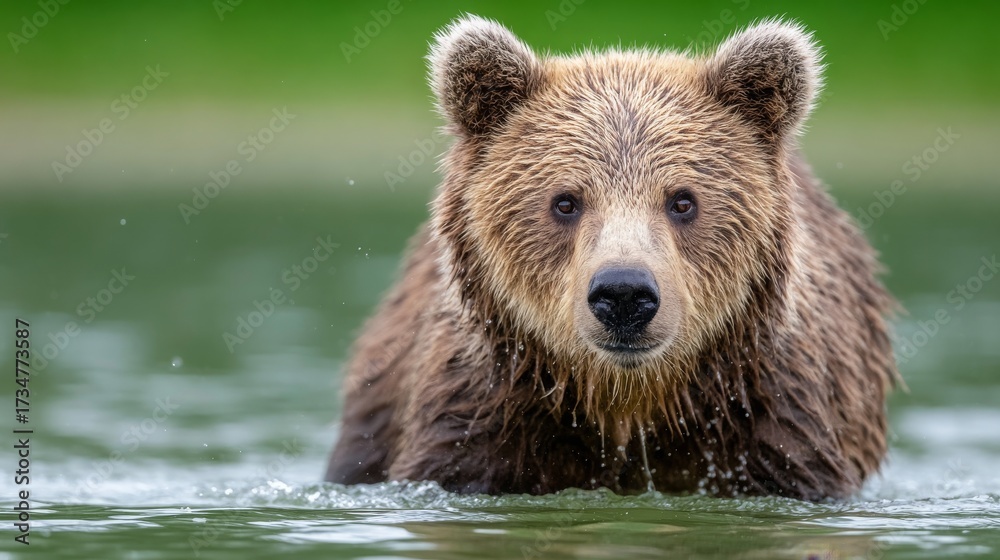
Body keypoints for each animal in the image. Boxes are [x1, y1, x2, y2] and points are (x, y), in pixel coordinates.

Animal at [325, 15, 897, 501]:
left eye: (683, 200)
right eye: (565, 201)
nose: (624, 293)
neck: (625, 401)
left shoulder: (772, 421)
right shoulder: (482, 417)